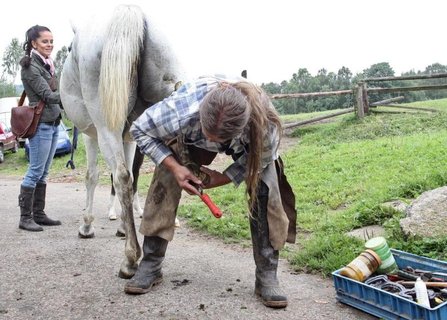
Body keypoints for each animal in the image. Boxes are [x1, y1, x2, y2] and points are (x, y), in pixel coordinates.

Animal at [60, 5, 186, 278]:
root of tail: (131, 13)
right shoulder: (130, 137)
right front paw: (120, 227)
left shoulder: (91, 135)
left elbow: (93, 176)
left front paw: (87, 226)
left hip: (106, 127)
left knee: (121, 177)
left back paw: (130, 259)